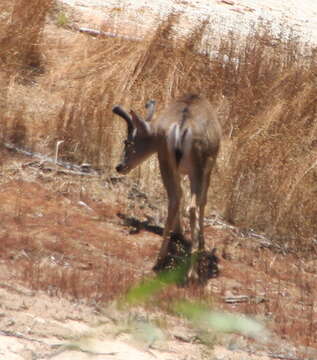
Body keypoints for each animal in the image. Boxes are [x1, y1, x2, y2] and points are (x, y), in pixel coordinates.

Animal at [112, 93, 221, 284]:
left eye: (128, 141)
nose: (119, 166)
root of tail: (181, 127)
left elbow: (181, 194)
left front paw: (179, 232)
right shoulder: (209, 166)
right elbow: (203, 201)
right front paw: (202, 243)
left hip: (165, 161)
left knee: (175, 198)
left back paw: (159, 259)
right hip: (198, 166)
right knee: (192, 205)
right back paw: (191, 272)